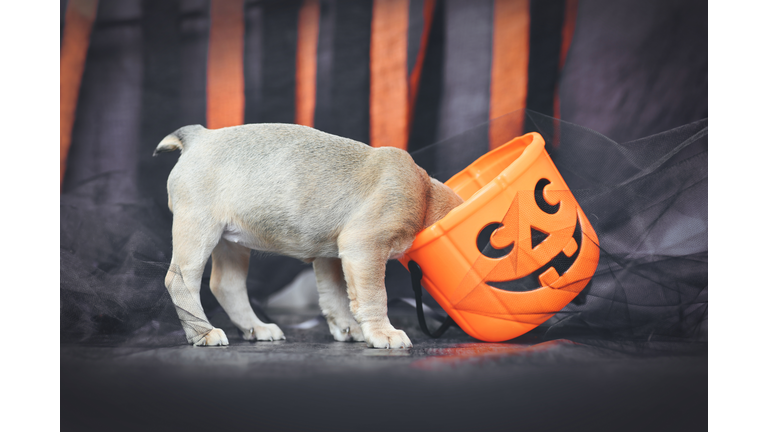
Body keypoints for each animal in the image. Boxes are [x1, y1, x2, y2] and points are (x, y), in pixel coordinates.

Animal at [154, 124, 462, 348]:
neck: (425, 194)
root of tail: (199, 136)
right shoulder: (365, 249)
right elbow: (375, 296)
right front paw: (382, 332)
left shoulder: (331, 257)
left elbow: (335, 295)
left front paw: (347, 327)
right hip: (198, 231)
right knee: (181, 282)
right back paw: (203, 333)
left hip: (230, 244)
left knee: (226, 285)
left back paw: (256, 327)